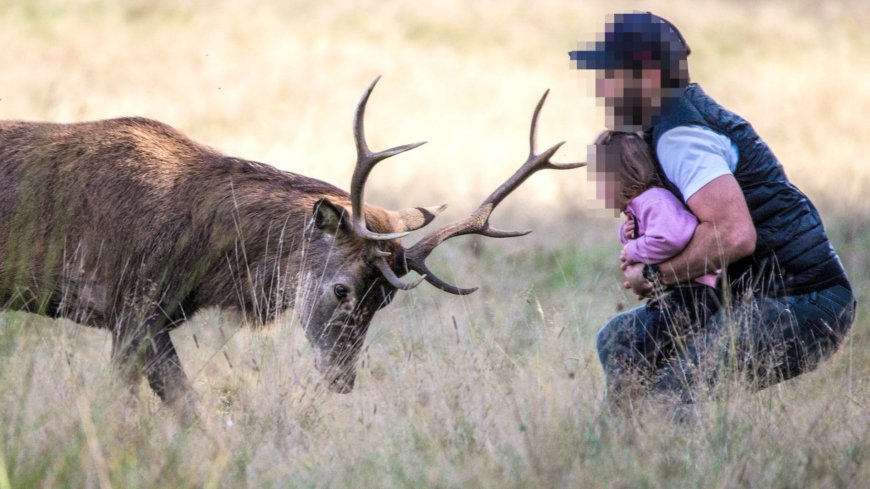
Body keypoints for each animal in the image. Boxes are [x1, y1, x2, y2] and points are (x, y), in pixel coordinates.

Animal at [1, 78, 584, 408]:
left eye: (384, 301)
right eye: (342, 289)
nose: (342, 381)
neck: (198, 260)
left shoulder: (140, 317)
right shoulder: (131, 305)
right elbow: (179, 406)